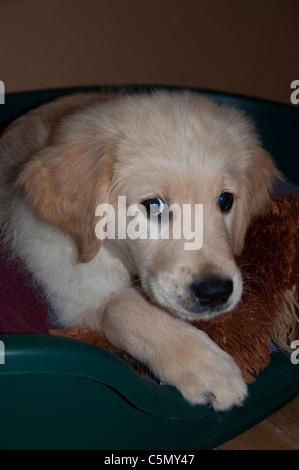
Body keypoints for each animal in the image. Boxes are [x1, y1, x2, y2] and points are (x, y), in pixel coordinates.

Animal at [0, 90, 282, 410]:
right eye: (153, 205)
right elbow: (121, 305)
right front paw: (207, 367)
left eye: (225, 200)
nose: (216, 293)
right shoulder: (75, 301)